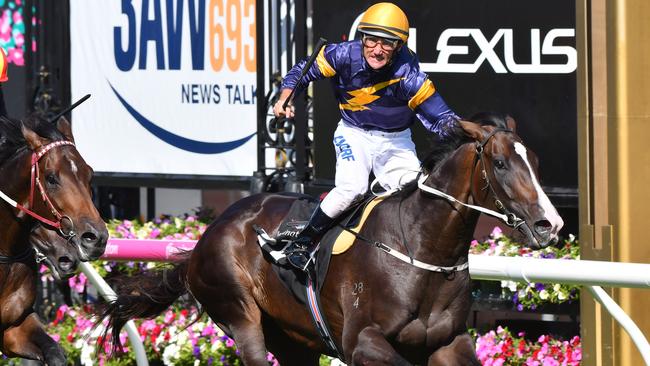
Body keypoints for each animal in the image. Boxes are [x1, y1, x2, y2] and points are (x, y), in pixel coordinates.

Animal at [104, 116, 560, 364]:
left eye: (537, 162)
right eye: (499, 163)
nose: (549, 225)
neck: (421, 250)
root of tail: (206, 237)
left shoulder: (450, 342)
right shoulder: (363, 343)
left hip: (294, 340)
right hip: (240, 315)